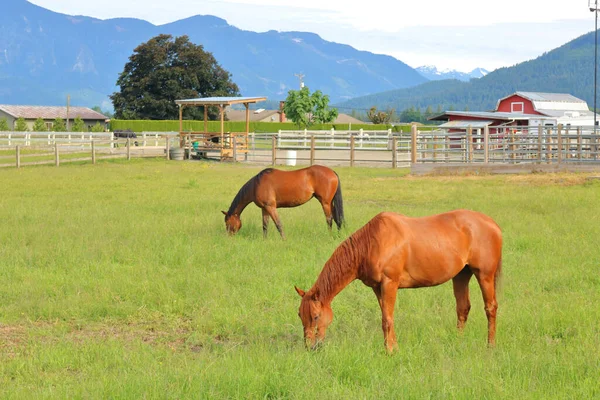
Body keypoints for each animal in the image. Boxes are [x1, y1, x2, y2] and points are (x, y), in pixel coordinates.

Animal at [296, 211, 502, 352]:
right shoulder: (377, 288)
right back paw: (458, 341)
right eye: (300, 315)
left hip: (484, 275)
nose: (310, 346)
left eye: (315, 316)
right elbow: (386, 317)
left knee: (490, 308)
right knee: (462, 308)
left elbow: (387, 319)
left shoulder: (390, 283)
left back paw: (490, 346)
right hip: (461, 275)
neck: (372, 242)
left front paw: (389, 351)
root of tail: (492, 224)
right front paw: (392, 347)